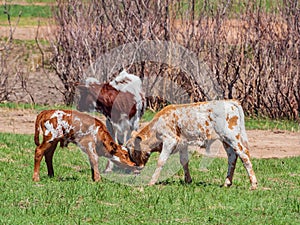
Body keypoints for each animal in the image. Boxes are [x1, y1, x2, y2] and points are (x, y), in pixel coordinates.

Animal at [126, 100, 258, 190]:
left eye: (133, 152)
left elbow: (161, 161)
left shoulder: (170, 141)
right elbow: (184, 161)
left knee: (244, 155)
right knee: (232, 158)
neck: (156, 127)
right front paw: (188, 180)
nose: (135, 168)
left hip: (232, 137)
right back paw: (227, 183)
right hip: (225, 140)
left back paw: (253, 184)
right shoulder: (183, 144)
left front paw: (152, 182)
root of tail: (230, 101)